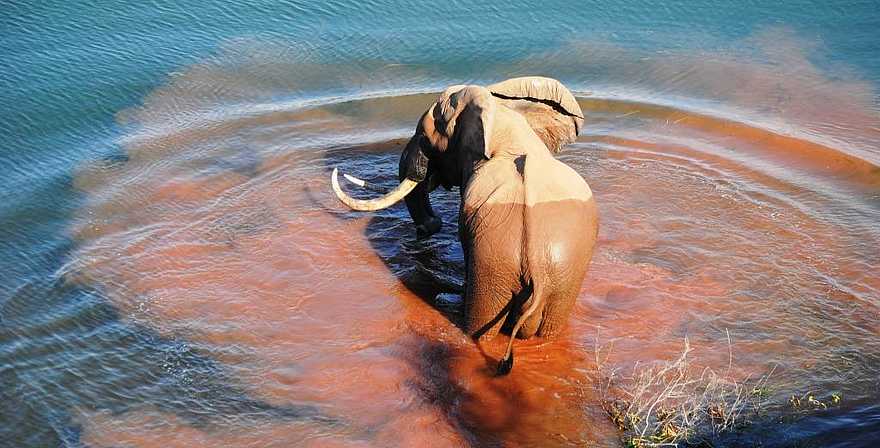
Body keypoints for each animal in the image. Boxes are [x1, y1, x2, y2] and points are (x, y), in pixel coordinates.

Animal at [331, 77, 598, 375]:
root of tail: (539, 273)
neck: (502, 118)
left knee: (481, 331)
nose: (428, 226)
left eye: (425, 139)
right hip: (563, 276)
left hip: (496, 261)